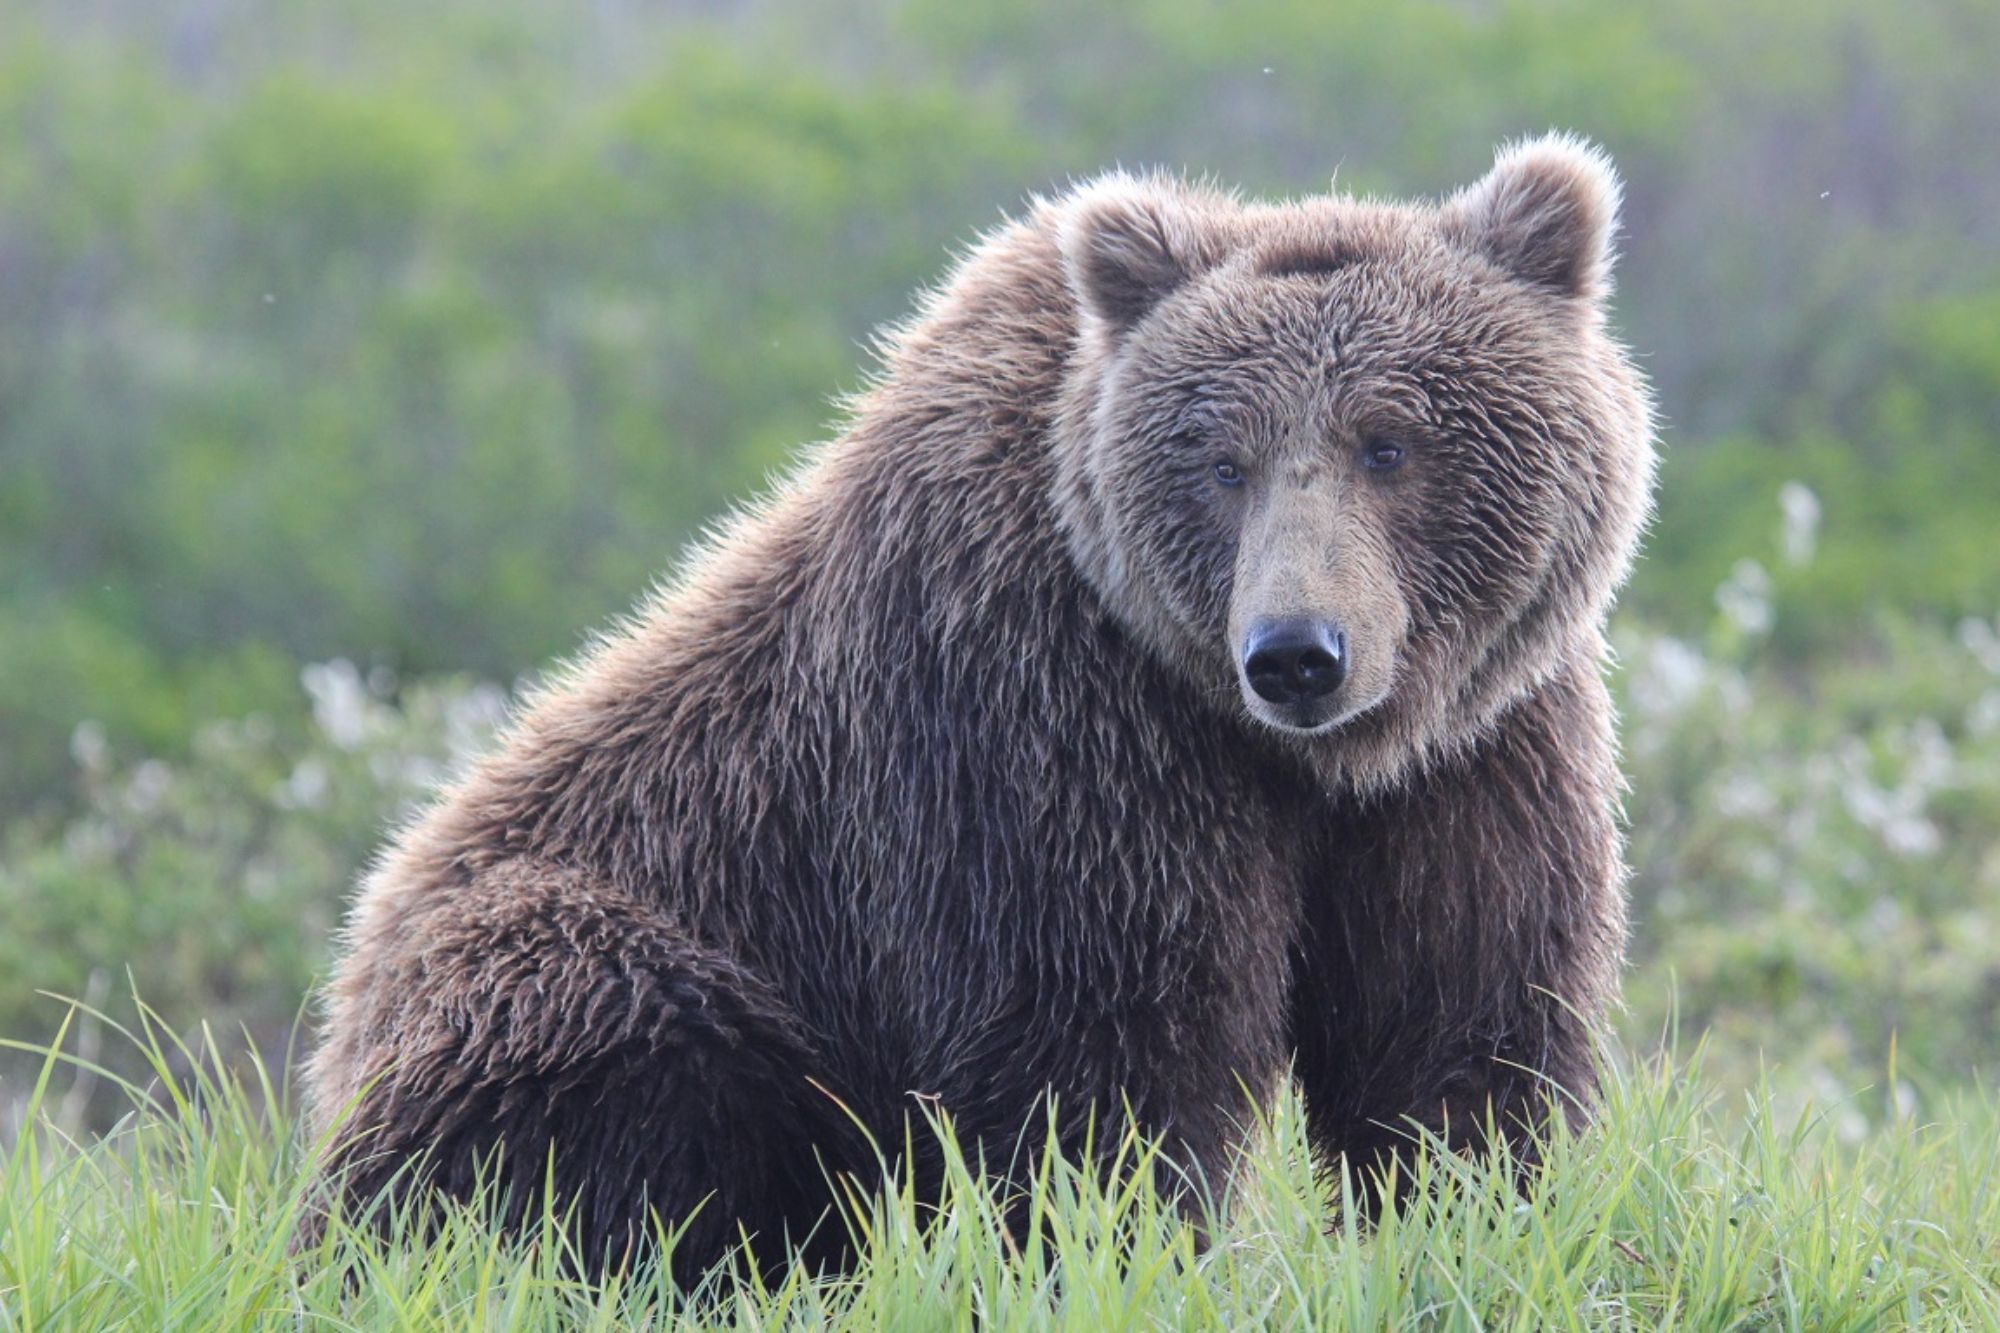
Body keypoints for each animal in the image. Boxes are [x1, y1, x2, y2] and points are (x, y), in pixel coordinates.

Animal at [308, 132, 1656, 1280]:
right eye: (1223, 464)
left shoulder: (1476, 748)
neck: (1303, 761)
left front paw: (1469, 1220)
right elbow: (1106, 1050)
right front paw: (1127, 1251)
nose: (1295, 654)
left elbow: (1459, 1028)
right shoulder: (1037, 707)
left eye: (1389, 443)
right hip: (592, 935)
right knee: (598, 1045)